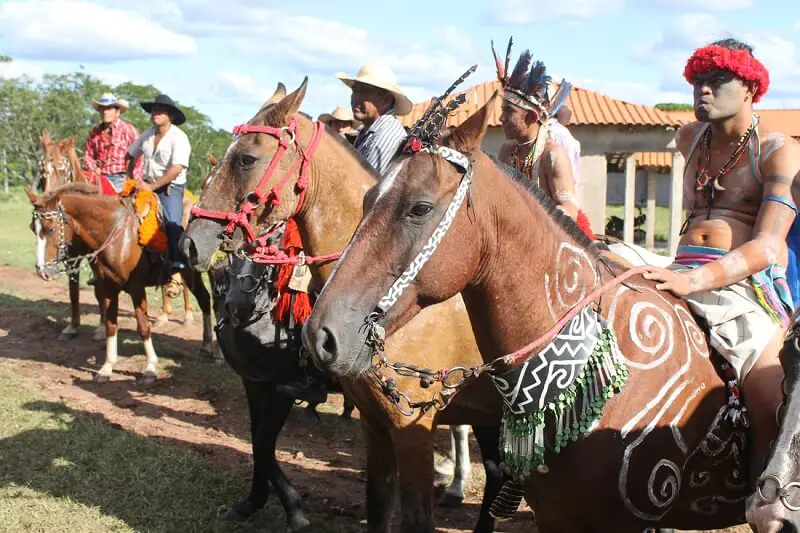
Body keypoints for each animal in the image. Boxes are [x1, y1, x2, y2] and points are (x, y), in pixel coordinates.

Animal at [25, 182, 214, 384]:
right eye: (32, 228)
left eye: (50, 229)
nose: (43, 271)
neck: (117, 236)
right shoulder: (107, 287)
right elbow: (111, 326)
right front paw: (107, 367)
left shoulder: (136, 288)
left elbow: (143, 327)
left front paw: (150, 368)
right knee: (204, 298)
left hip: (191, 273)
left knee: (204, 299)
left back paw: (208, 345)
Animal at [182, 80, 507, 533]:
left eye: (246, 158)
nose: (192, 243)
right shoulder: (259, 385)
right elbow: (259, 443)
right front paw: (252, 502)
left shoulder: (401, 424)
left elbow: (263, 443)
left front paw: (295, 510)